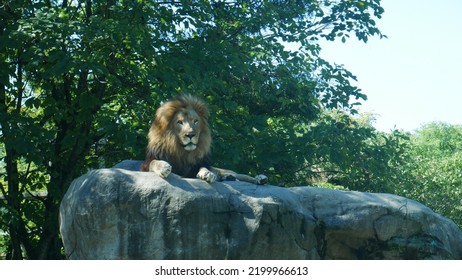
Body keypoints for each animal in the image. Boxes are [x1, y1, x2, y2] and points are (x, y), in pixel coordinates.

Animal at [140, 95, 268, 185]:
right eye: (180, 122)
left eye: (195, 121)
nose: (190, 134)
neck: (182, 151)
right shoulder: (146, 165)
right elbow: (153, 162)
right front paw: (163, 167)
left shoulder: (198, 165)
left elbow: (203, 167)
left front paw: (207, 173)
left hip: (225, 170)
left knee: (241, 175)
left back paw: (260, 178)